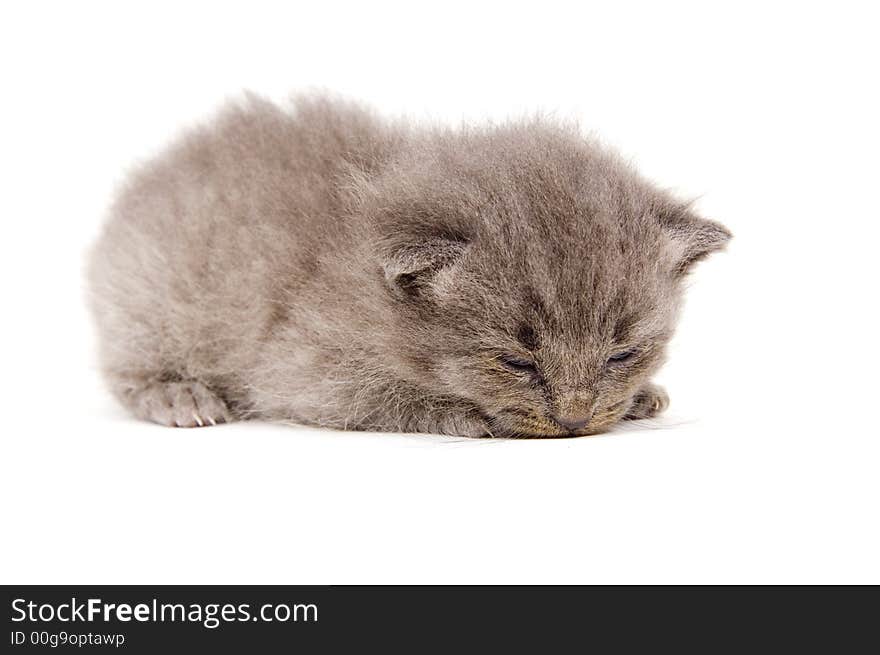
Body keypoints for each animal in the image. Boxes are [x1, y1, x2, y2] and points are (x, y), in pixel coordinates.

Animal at [87, 95, 728, 438]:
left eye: (623, 353)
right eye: (516, 361)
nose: (573, 421)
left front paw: (640, 396)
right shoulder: (299, 367)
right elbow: (385, 397)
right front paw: (466, 414)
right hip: (150, 298)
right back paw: (178, 397)